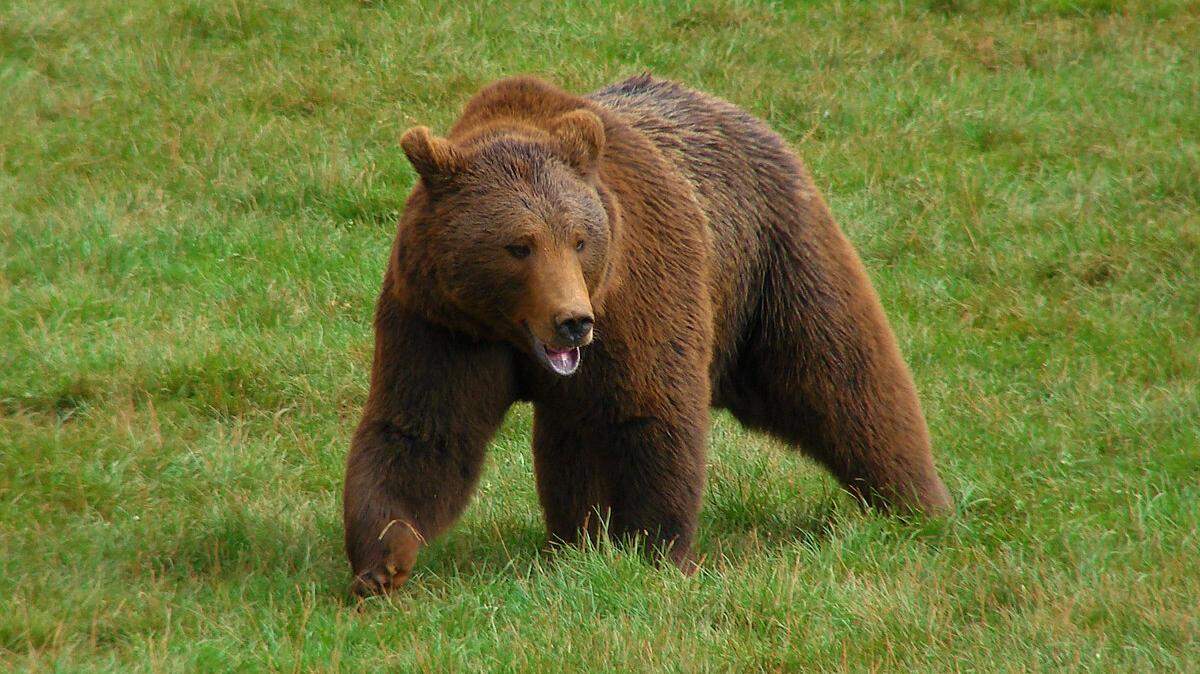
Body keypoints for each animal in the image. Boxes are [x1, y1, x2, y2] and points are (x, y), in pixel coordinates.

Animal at [343, 74, 952, 595]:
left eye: (579, 238)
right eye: (519, 245)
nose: (573, 320)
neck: (511, 331)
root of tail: (739, 112)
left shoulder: (639, 294)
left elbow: (650, 415)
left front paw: (653, 549)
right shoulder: (441, 322)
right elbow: (422, 430)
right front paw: (383, 560)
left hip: (772, 261)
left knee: (842, 371)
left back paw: (919, 502)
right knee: (569, 438)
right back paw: (573, 541)